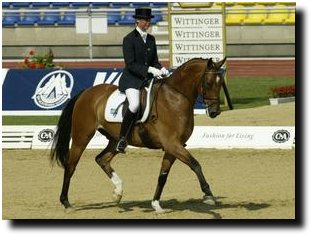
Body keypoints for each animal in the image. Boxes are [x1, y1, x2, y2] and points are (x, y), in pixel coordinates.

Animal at [50, 56, 227, 212]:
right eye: (208, 82)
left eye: (220, 84)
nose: (214, 112)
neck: (176, 97)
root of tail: (86, 92)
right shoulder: (172, 144)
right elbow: (195, 164)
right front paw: (208, 195)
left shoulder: (173, 147)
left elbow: (163, 175)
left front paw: (156, 204)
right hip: (81, 137)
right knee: (71, 166)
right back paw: (66, 203)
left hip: (114, 140)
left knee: (101, 159)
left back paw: (118, 193)